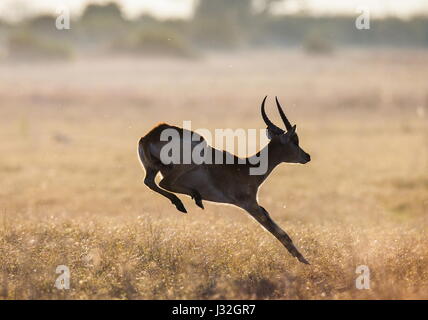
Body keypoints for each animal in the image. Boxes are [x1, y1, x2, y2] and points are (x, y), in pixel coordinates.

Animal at [140, 96, 310, 264]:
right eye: (295, 141)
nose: (307, 156)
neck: (247, 167)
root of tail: (150, 136)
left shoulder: (257, 205)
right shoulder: (249, 204)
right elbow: (278, 232)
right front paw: (304, 260)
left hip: (152, 169)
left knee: (149, 182)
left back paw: (189, 200)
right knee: (164, 182)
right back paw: (191, 199)